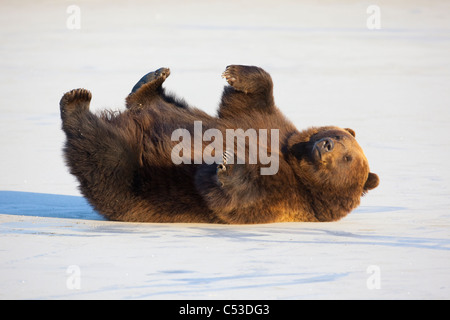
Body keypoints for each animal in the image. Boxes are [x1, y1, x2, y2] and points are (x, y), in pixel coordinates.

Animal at [59, 64, 376, 225]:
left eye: (348, 159)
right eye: (341, 137)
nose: (326, 144)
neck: (294, 160)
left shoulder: (286, 197)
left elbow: (236, 197)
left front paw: (227, 163)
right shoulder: (267, 126)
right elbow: (247, 104)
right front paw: (236, 72)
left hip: (136, 179)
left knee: (103, 153)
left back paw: (77, 102)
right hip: (169, 116)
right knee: (159, 105)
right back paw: (151, 79)